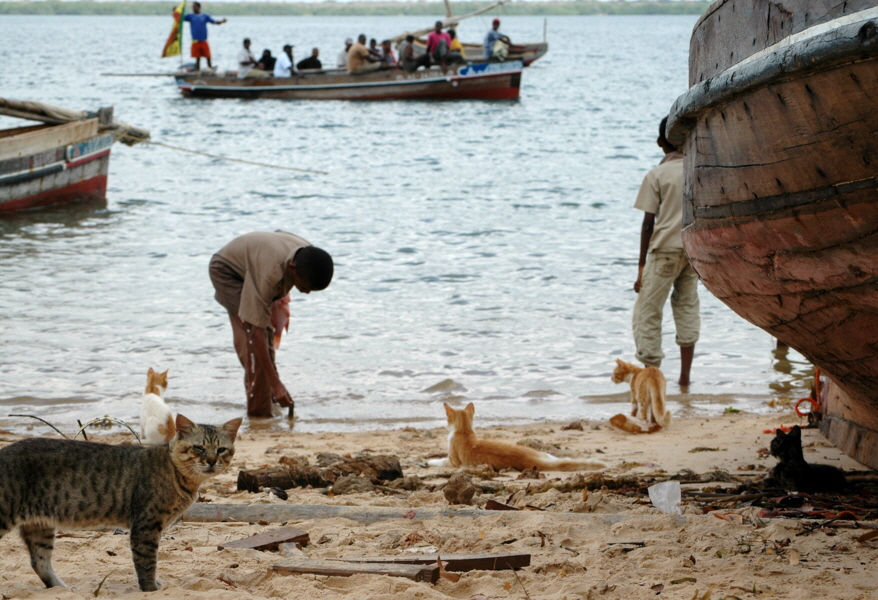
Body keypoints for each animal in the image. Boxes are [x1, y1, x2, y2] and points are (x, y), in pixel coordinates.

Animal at [0, 412, 241, 592]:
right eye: (199, 447)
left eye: (221, 449)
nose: (211, 461)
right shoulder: (145, 525)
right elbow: (146, 562)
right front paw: (150, 589)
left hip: (40, 527)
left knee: (39, 562)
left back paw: (64, 589)